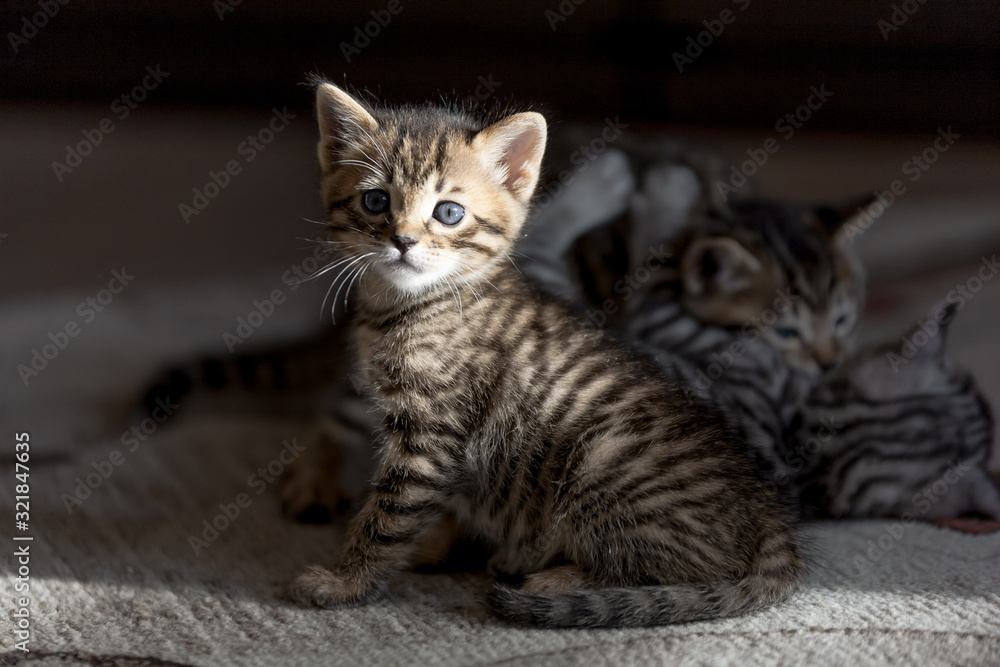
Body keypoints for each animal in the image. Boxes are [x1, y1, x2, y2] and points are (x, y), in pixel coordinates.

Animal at [286, 81, 800, 628]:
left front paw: (346, 582)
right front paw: (434, 544)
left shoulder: (430, 437)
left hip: (602, 462)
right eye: (375, 200)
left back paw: (551, 578)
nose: (403, 240)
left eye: (448, 212)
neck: (414, 305)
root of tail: (771, 519)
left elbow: (388, 516)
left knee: (669, 571)